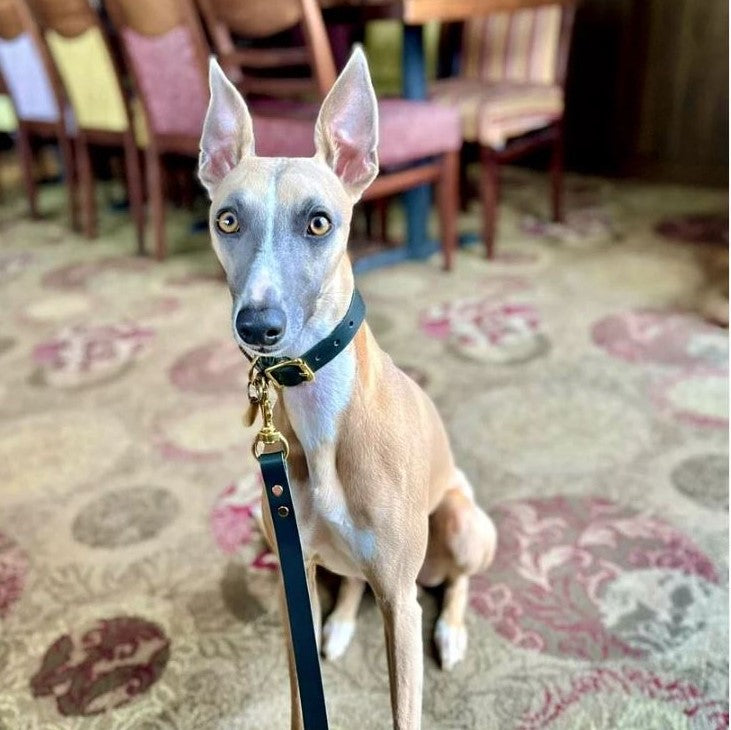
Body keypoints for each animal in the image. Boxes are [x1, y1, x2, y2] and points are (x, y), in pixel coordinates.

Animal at [199, 48, 498, 724]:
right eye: (227, 219)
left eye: (319, 222)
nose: (258, 326)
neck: (321, 413)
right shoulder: (295, 582)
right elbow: (299, 701)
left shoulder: (399, 600)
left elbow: (405, 707)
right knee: (351, 583)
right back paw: (337, 625)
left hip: (462, 527)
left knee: (456, 581)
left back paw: (452, 631)